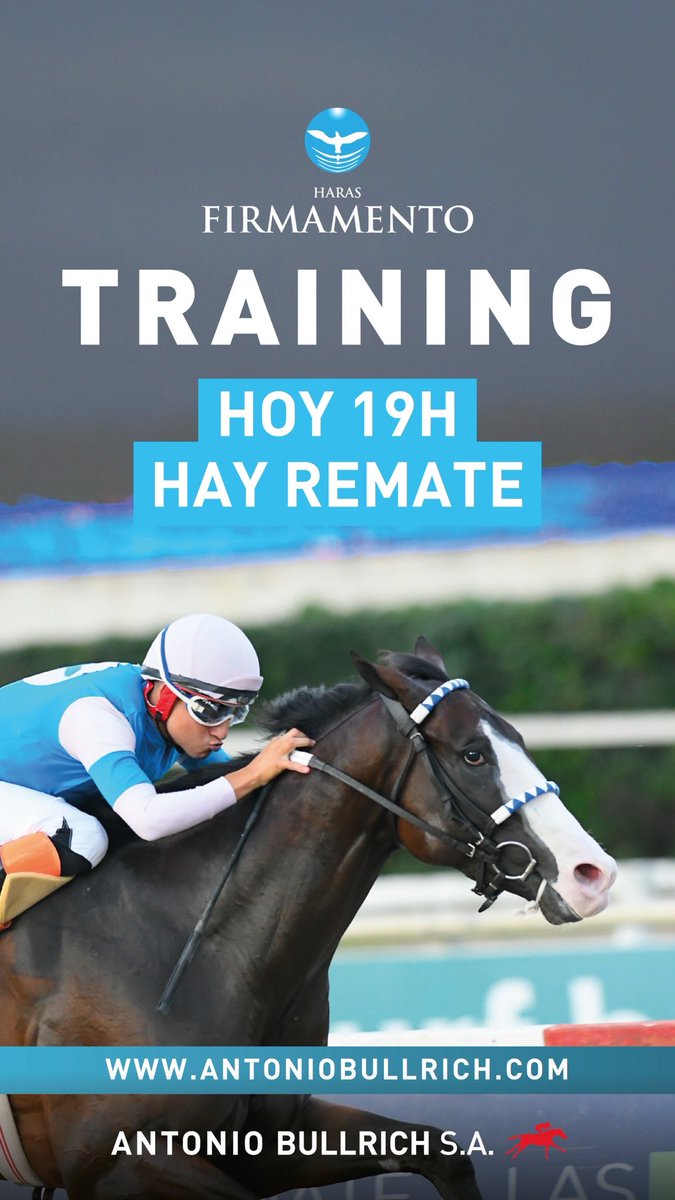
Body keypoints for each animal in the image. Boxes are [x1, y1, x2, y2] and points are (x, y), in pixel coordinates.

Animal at [0, 638, 616, 1200]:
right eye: (473, 754)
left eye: (518, 740)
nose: (594, 874)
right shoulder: (115, 1161)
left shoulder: (274, 1141)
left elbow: (444, 1154)